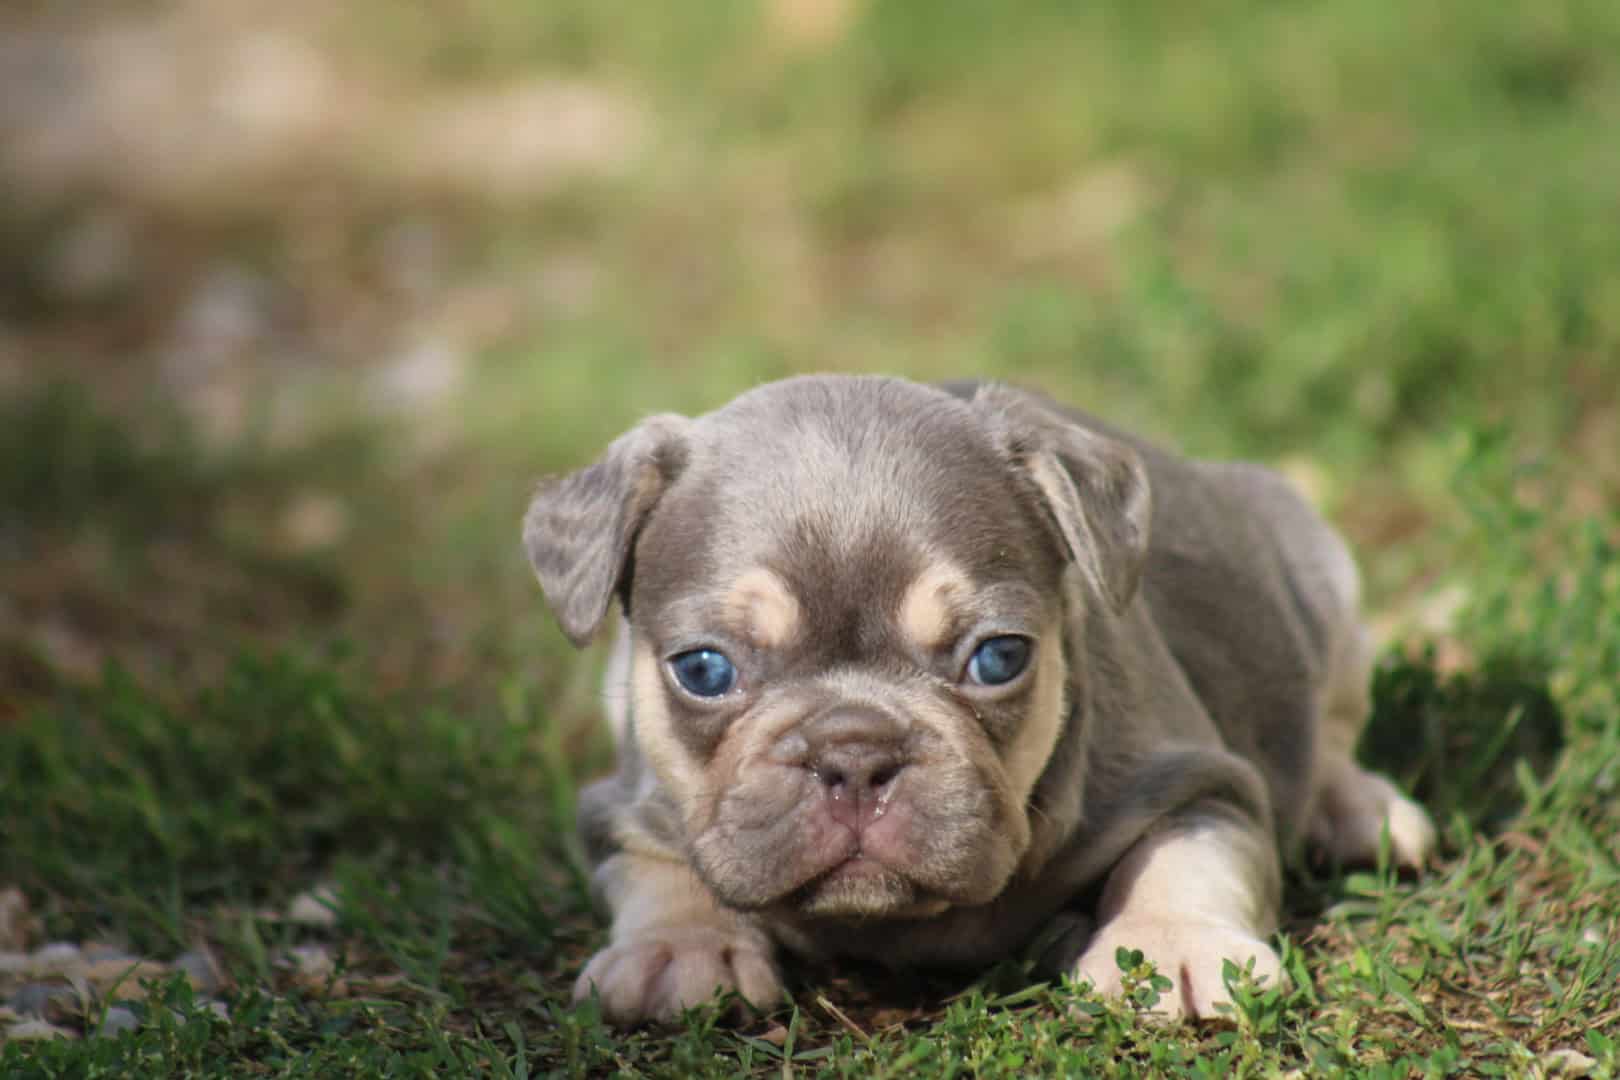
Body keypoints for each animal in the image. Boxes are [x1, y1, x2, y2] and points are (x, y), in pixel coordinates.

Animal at [524, 375, 1438, 1029]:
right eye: (704, 671)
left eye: (999, 658)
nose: (854, 754)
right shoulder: (624, 802)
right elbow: (657, 862)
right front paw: (679, 945)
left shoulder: (1201, 780)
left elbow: (1186, 853)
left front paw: (1169, 943)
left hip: (1321, 577)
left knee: (1331, 733)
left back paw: (1358, 810)